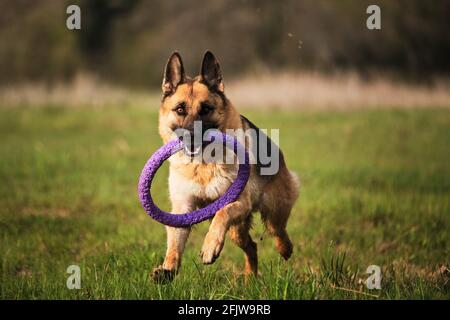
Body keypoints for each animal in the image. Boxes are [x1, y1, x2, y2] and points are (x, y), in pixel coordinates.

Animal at [151, 50, 298, 282]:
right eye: (180, 109)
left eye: (206, 109)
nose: (190, 137)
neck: (202, 166)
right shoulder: (183, 208)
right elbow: (174, 243)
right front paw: (167, 270)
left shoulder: (238, 202)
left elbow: (221, 214)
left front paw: (210, 247)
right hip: (237, 230)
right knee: (252, 246)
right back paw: (249, 278)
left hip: (272, 211)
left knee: (278, 231)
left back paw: (285, 249)